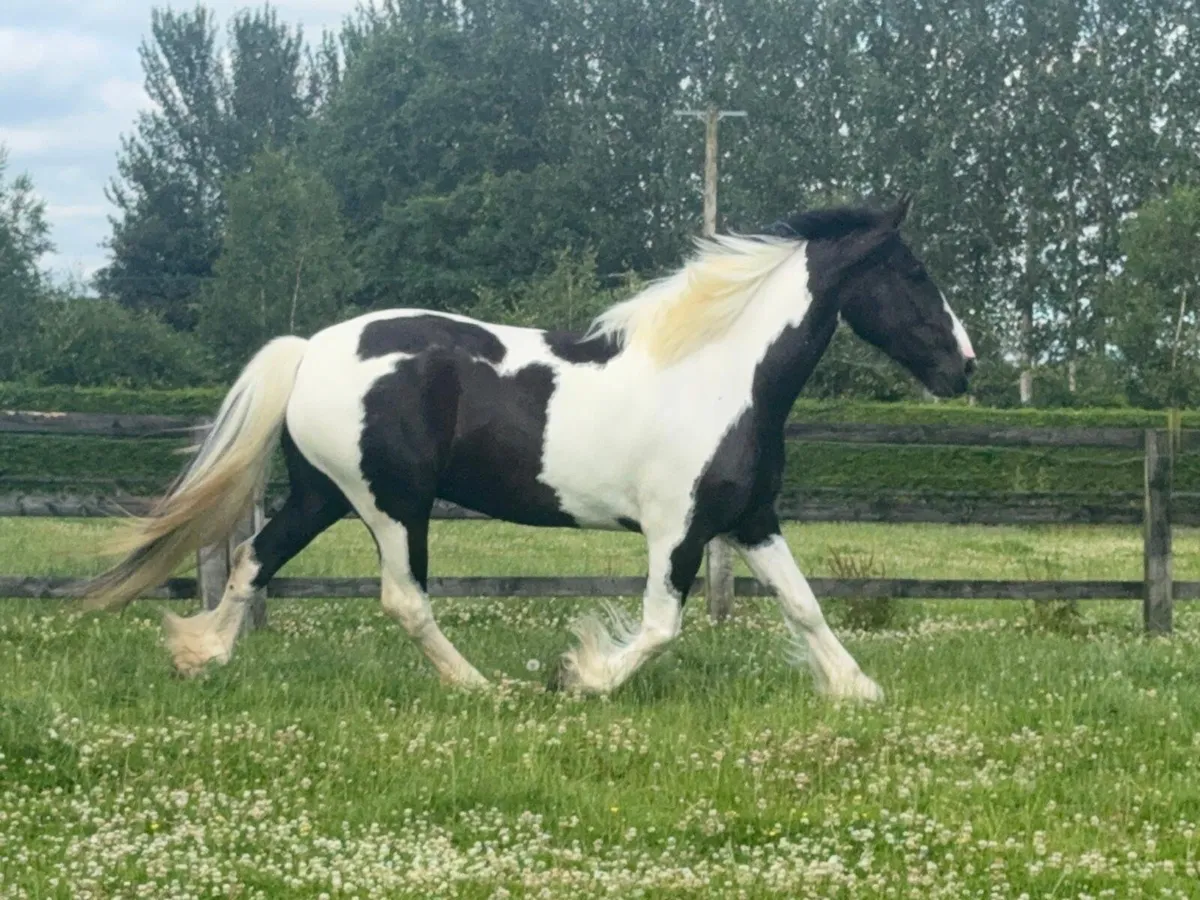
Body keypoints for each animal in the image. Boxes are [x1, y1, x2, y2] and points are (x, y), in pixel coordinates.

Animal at [83, 197, 974, 701]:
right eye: (914, 273)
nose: (964, 367)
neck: (719, 374)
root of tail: (312, 350)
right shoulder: (676, 531)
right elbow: (661, 626)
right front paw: (579, 676)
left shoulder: (751, 519)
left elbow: (804, 604)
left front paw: (858, 690)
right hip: (391, 504)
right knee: (403, 599)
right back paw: (483, 688)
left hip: (322, 495)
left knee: (252, 560)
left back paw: (200, 657)